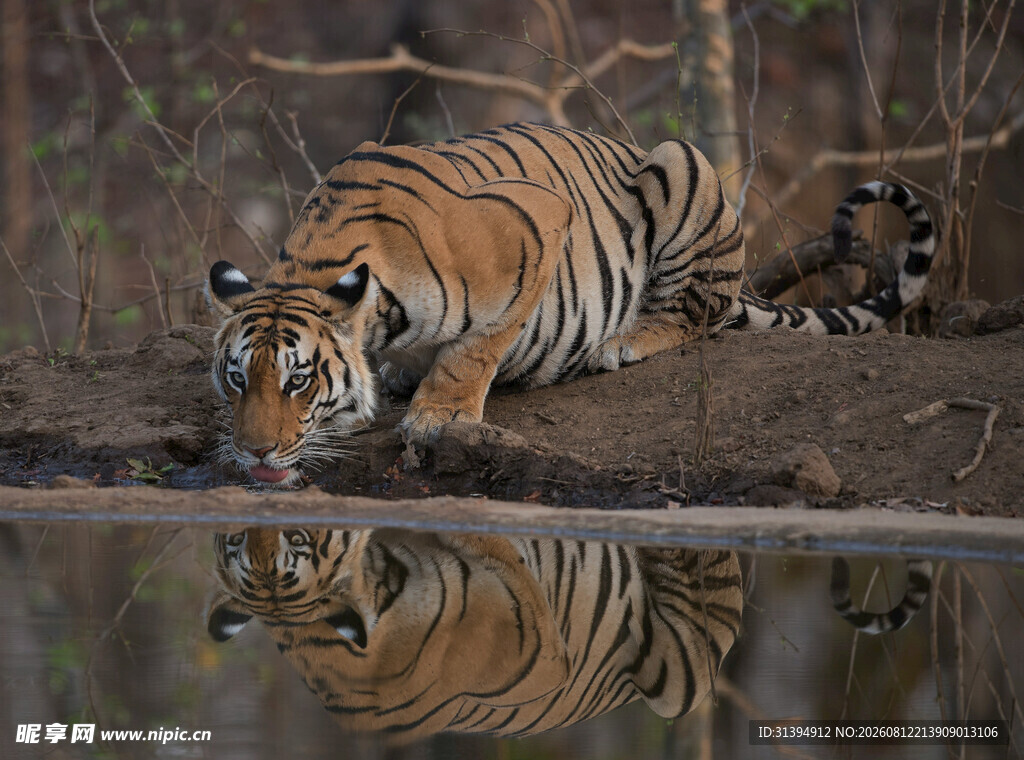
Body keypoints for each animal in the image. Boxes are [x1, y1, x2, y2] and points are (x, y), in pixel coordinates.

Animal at [206, 122, 936, 484]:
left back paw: (624, 341)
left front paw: (438, 415)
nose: (254, 454)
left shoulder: (534, 223)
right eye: (237, 379)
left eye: (299, 380)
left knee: (696, 314)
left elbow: (477, 347)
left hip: (681, 166)